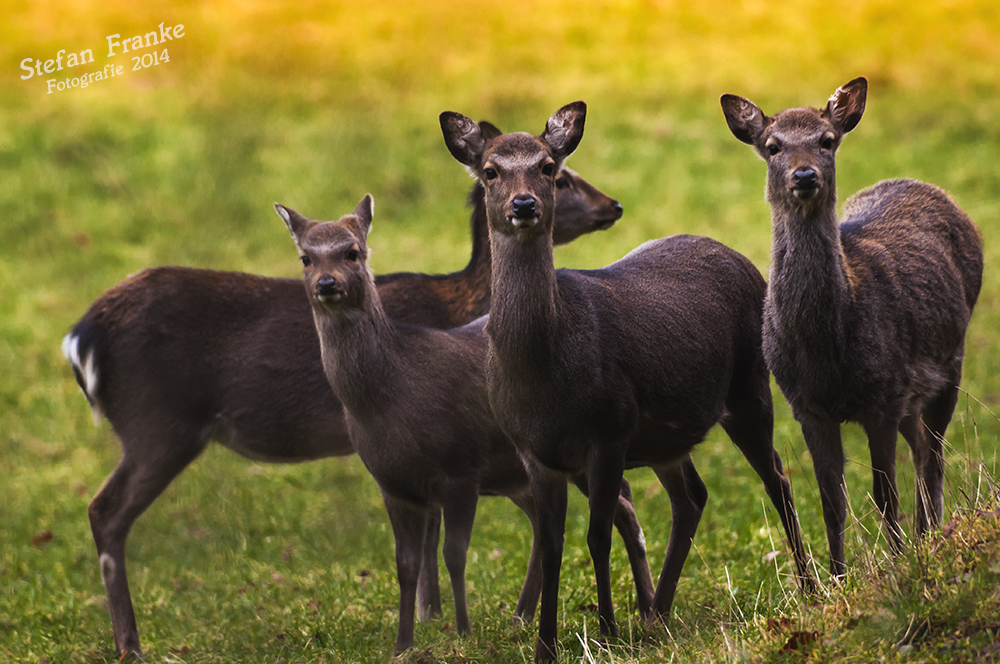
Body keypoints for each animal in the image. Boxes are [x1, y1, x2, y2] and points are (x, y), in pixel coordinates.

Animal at [280, 196, 656, 652]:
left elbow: (454, 554)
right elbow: (405, 564)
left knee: (624, 504)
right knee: (559, 515)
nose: (327, 284)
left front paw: (463, 631)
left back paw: (647, 609)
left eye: (353, 252)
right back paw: (523, 617)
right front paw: (403, 643)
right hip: (522, 470)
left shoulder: (461, 467)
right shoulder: (392, 484)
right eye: (305, 257)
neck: (391, 393)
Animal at [442, 101, 816, 660]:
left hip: (750, 387)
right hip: (666, 436)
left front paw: (607, 632)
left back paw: (810, 586)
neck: (545, 369)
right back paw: (657, 612)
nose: (524, 204)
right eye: (490, 171)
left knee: (778, 477)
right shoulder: (534, 450)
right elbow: (550, 546)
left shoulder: (609, 429)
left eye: (549, 167)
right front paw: (546, 644)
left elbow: (596, 535)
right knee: (692, 496)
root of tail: (741, 259)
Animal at [720, 76, 984, 576]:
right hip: (913, 393)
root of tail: (923, 185)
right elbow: (831, 502)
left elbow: (884, 494)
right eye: (772, 146)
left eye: (827, 140)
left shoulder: (883, 395)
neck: (826, 349)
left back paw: (930, 536)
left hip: (950, 362)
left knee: (933, 456)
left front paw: (899, 563)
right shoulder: (806, 405)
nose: (805, 176)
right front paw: (839, 578)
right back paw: (926, 534)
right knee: (922, 449)